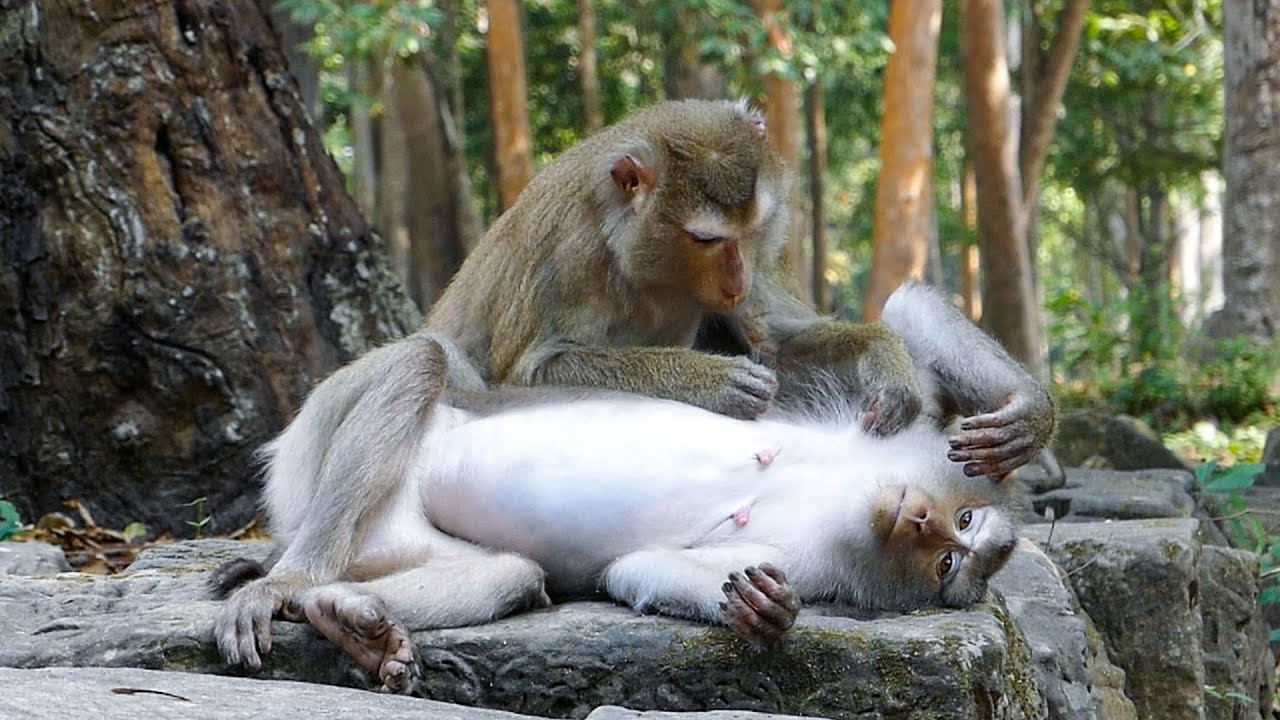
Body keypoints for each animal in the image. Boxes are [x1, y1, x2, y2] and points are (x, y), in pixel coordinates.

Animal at [213, 284, 1055, 694]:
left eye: (949, 560)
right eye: (962, 522)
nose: (919, 521)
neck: (846, 498)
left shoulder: (821, 565)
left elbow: (637, 568)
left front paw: (764, 611)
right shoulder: (887, 430)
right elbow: (892, 328)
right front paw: (1027, 417)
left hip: (395, 536)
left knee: (509, 574)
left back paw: (343, 615)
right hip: (317, 446)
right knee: (421, 363)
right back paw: (288, 582)